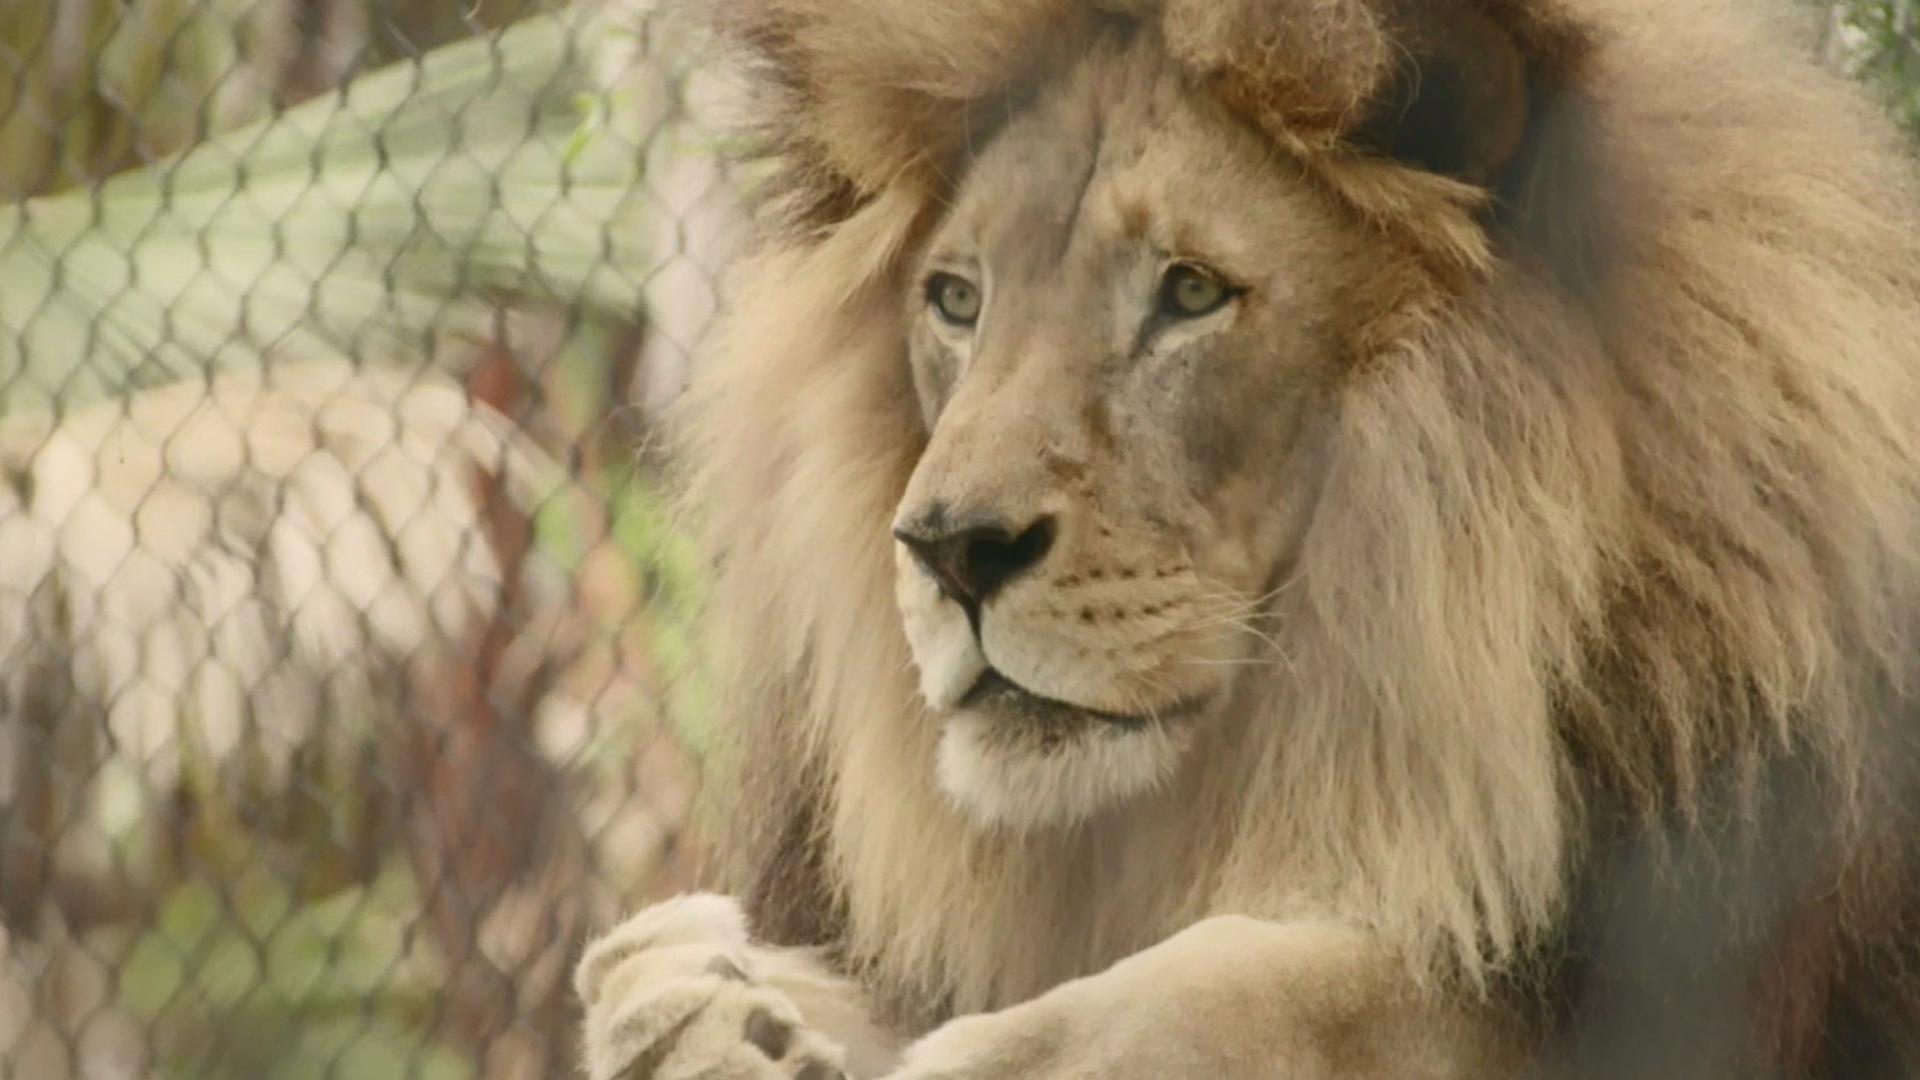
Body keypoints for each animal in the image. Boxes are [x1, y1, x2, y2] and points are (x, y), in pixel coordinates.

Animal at [575, 0, 1920, 1076]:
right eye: (957, 300)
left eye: (1190, 293)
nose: (949, 550)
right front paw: (689, 997)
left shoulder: (1663, 977)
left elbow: (1283, 989)